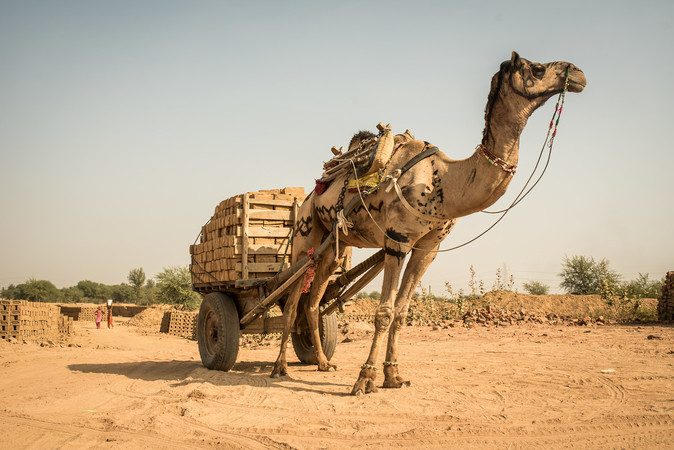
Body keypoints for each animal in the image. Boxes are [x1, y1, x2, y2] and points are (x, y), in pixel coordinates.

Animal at [270, 51, 584, 394]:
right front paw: (365, 380)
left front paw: (393, 376)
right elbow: (384, 311)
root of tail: (311, 193)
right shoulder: (397, 240)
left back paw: (323, 363)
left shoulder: (428, 248)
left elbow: (402, 311)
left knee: (313, 302)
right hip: (306, 236)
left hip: (334, 248)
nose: (578, 74)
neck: (442, 180)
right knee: (291, 302)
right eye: (537, 69)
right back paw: (279, 368)